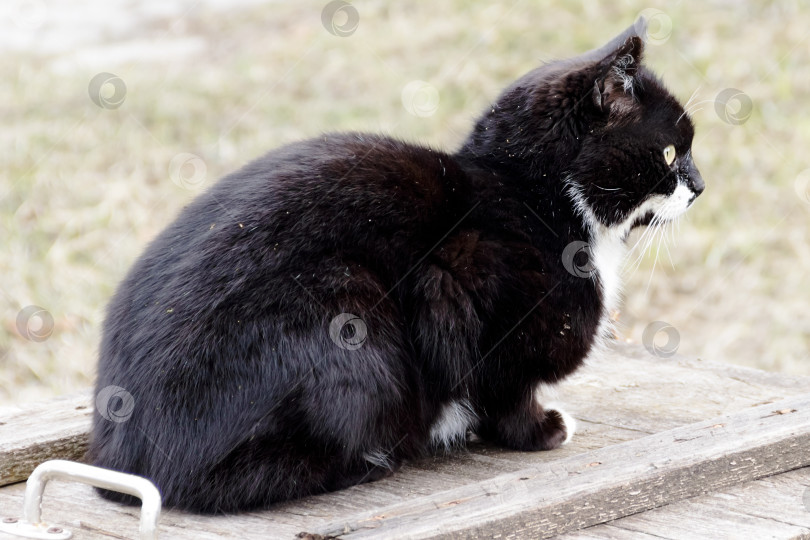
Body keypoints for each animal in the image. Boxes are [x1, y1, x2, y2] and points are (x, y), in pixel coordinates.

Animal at [88, 19, 700, 512]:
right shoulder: (458, 286)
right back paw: (374, 458)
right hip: (349, 314)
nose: (699, 186)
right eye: (672, 152)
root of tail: (126, 460)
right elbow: (505, 386)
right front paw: (539, 429)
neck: (534, 199)